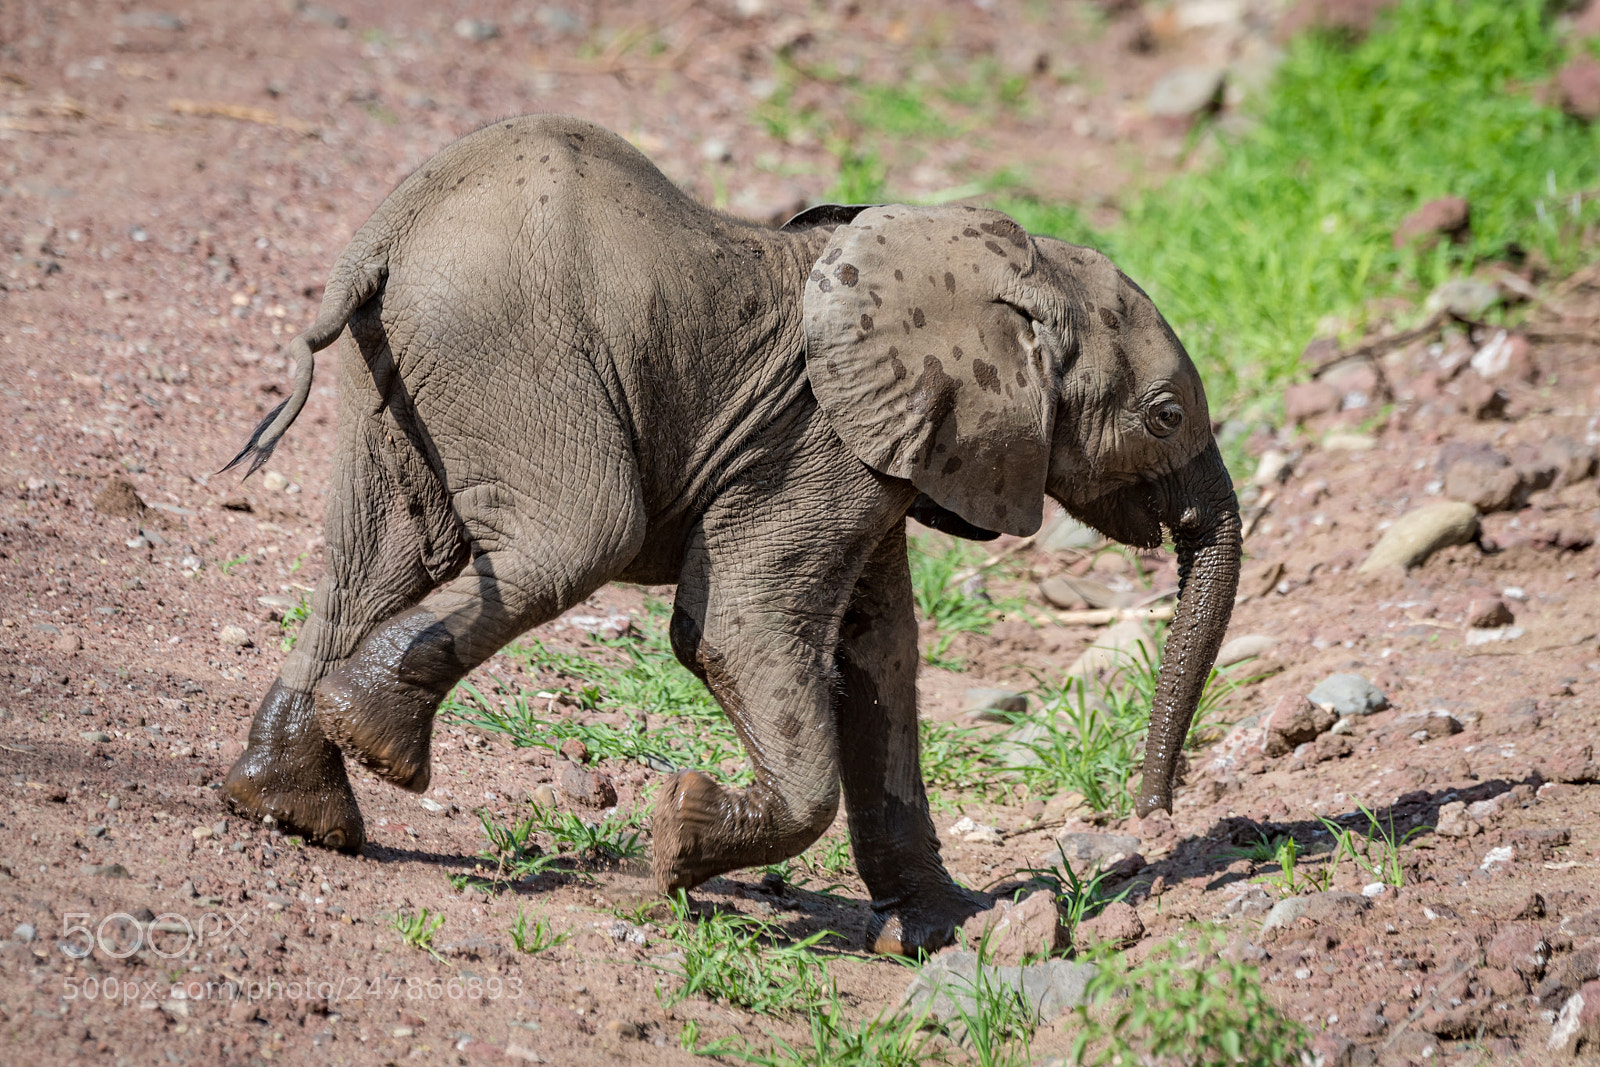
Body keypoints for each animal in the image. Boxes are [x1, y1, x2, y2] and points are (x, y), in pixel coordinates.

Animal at [221, 113, 1241, 956]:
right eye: (1164, 416)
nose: (1151, 814)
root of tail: (389, 232)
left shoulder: (879, 449)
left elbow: (882, 657)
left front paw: (947, 929)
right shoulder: (819, 444)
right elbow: (734, 630)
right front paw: (678, 838)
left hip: (392, 368)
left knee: (369, 563)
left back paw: (294, 807)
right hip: (506, 349)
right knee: (576, 536)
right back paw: (378, 745)